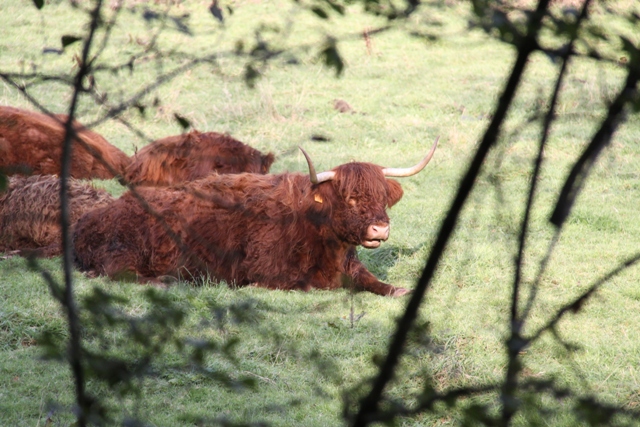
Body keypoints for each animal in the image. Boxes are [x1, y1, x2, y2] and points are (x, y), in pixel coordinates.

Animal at [72, 139, 438, 296]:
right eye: (350, 198)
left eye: (382, 199)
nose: (380, 228)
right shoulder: (272, 273)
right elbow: (308, 286)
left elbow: (380, 285)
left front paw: (400, 290)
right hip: (127, 251)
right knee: (118, 273)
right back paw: (164, 280)